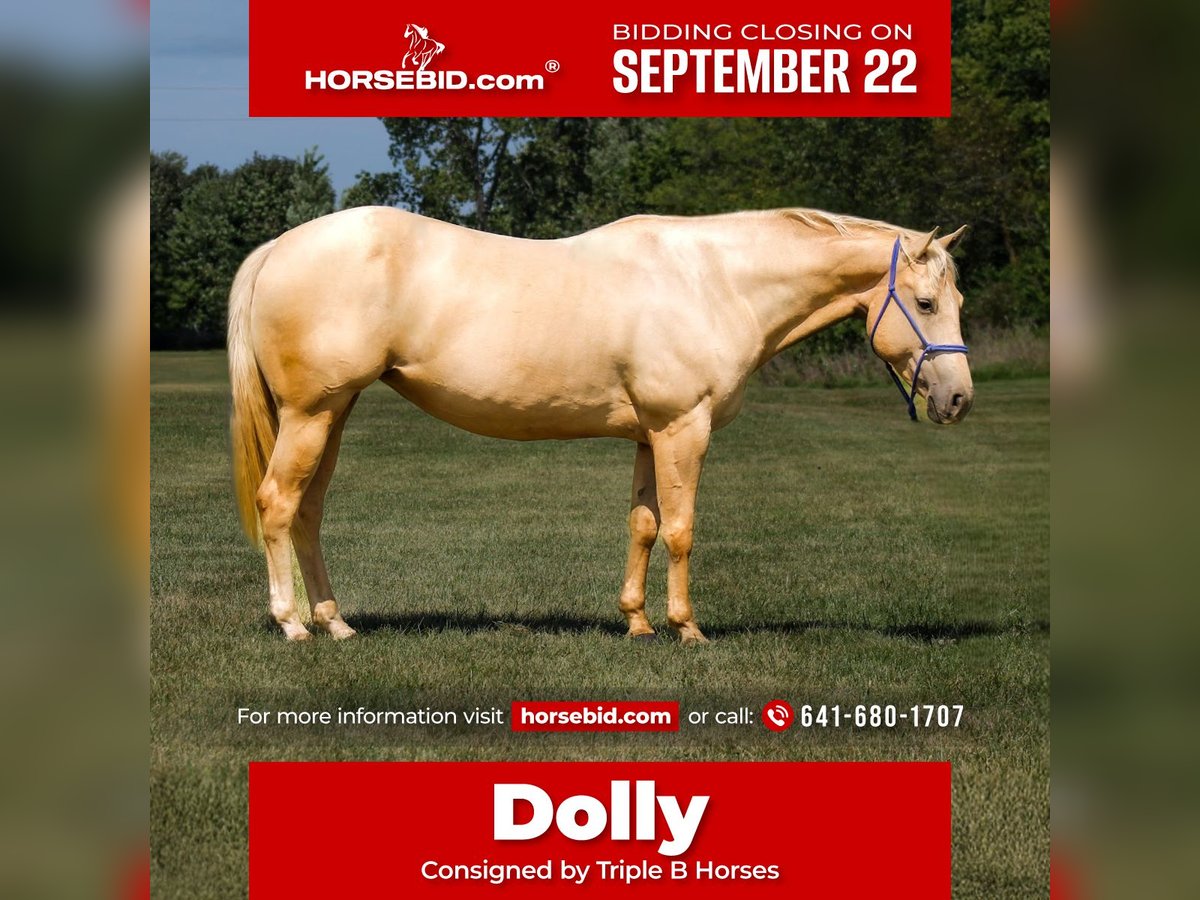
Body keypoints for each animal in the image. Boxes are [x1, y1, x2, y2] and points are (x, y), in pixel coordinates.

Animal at [227, 208, 973, 643]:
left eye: (958, 299)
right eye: (924, 302)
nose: (959, 399)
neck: (714, 281)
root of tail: (279, 246)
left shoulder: (650, 435)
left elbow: (642, 524)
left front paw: (637, 623)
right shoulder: (683, 428)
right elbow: (680, 530)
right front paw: (686, 630)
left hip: (334, 412)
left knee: (308, 512)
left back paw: (336, 623)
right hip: (312, 413)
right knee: (278, 504)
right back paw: (293, 625)